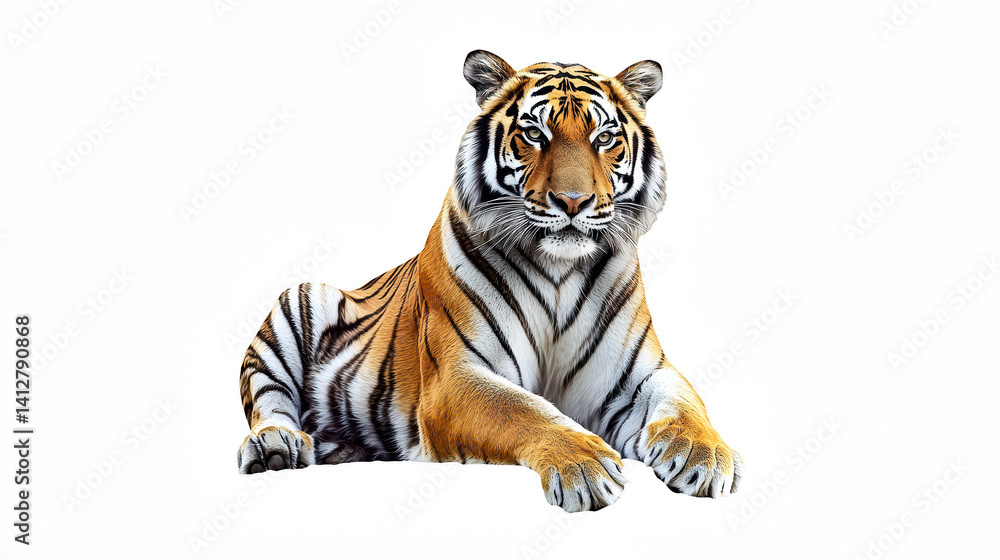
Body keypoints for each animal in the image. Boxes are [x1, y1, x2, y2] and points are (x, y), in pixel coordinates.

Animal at [235, 50, 742, 512]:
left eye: (604, 139)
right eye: (534, 134)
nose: (572, 201)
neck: (560, 270)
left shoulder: (634, 375)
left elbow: (685, 403)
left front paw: (704, 456)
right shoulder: (457, 376)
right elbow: (522, 410)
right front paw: (585, 466)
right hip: (294, 305)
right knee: (269, 403)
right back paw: (276, 446)